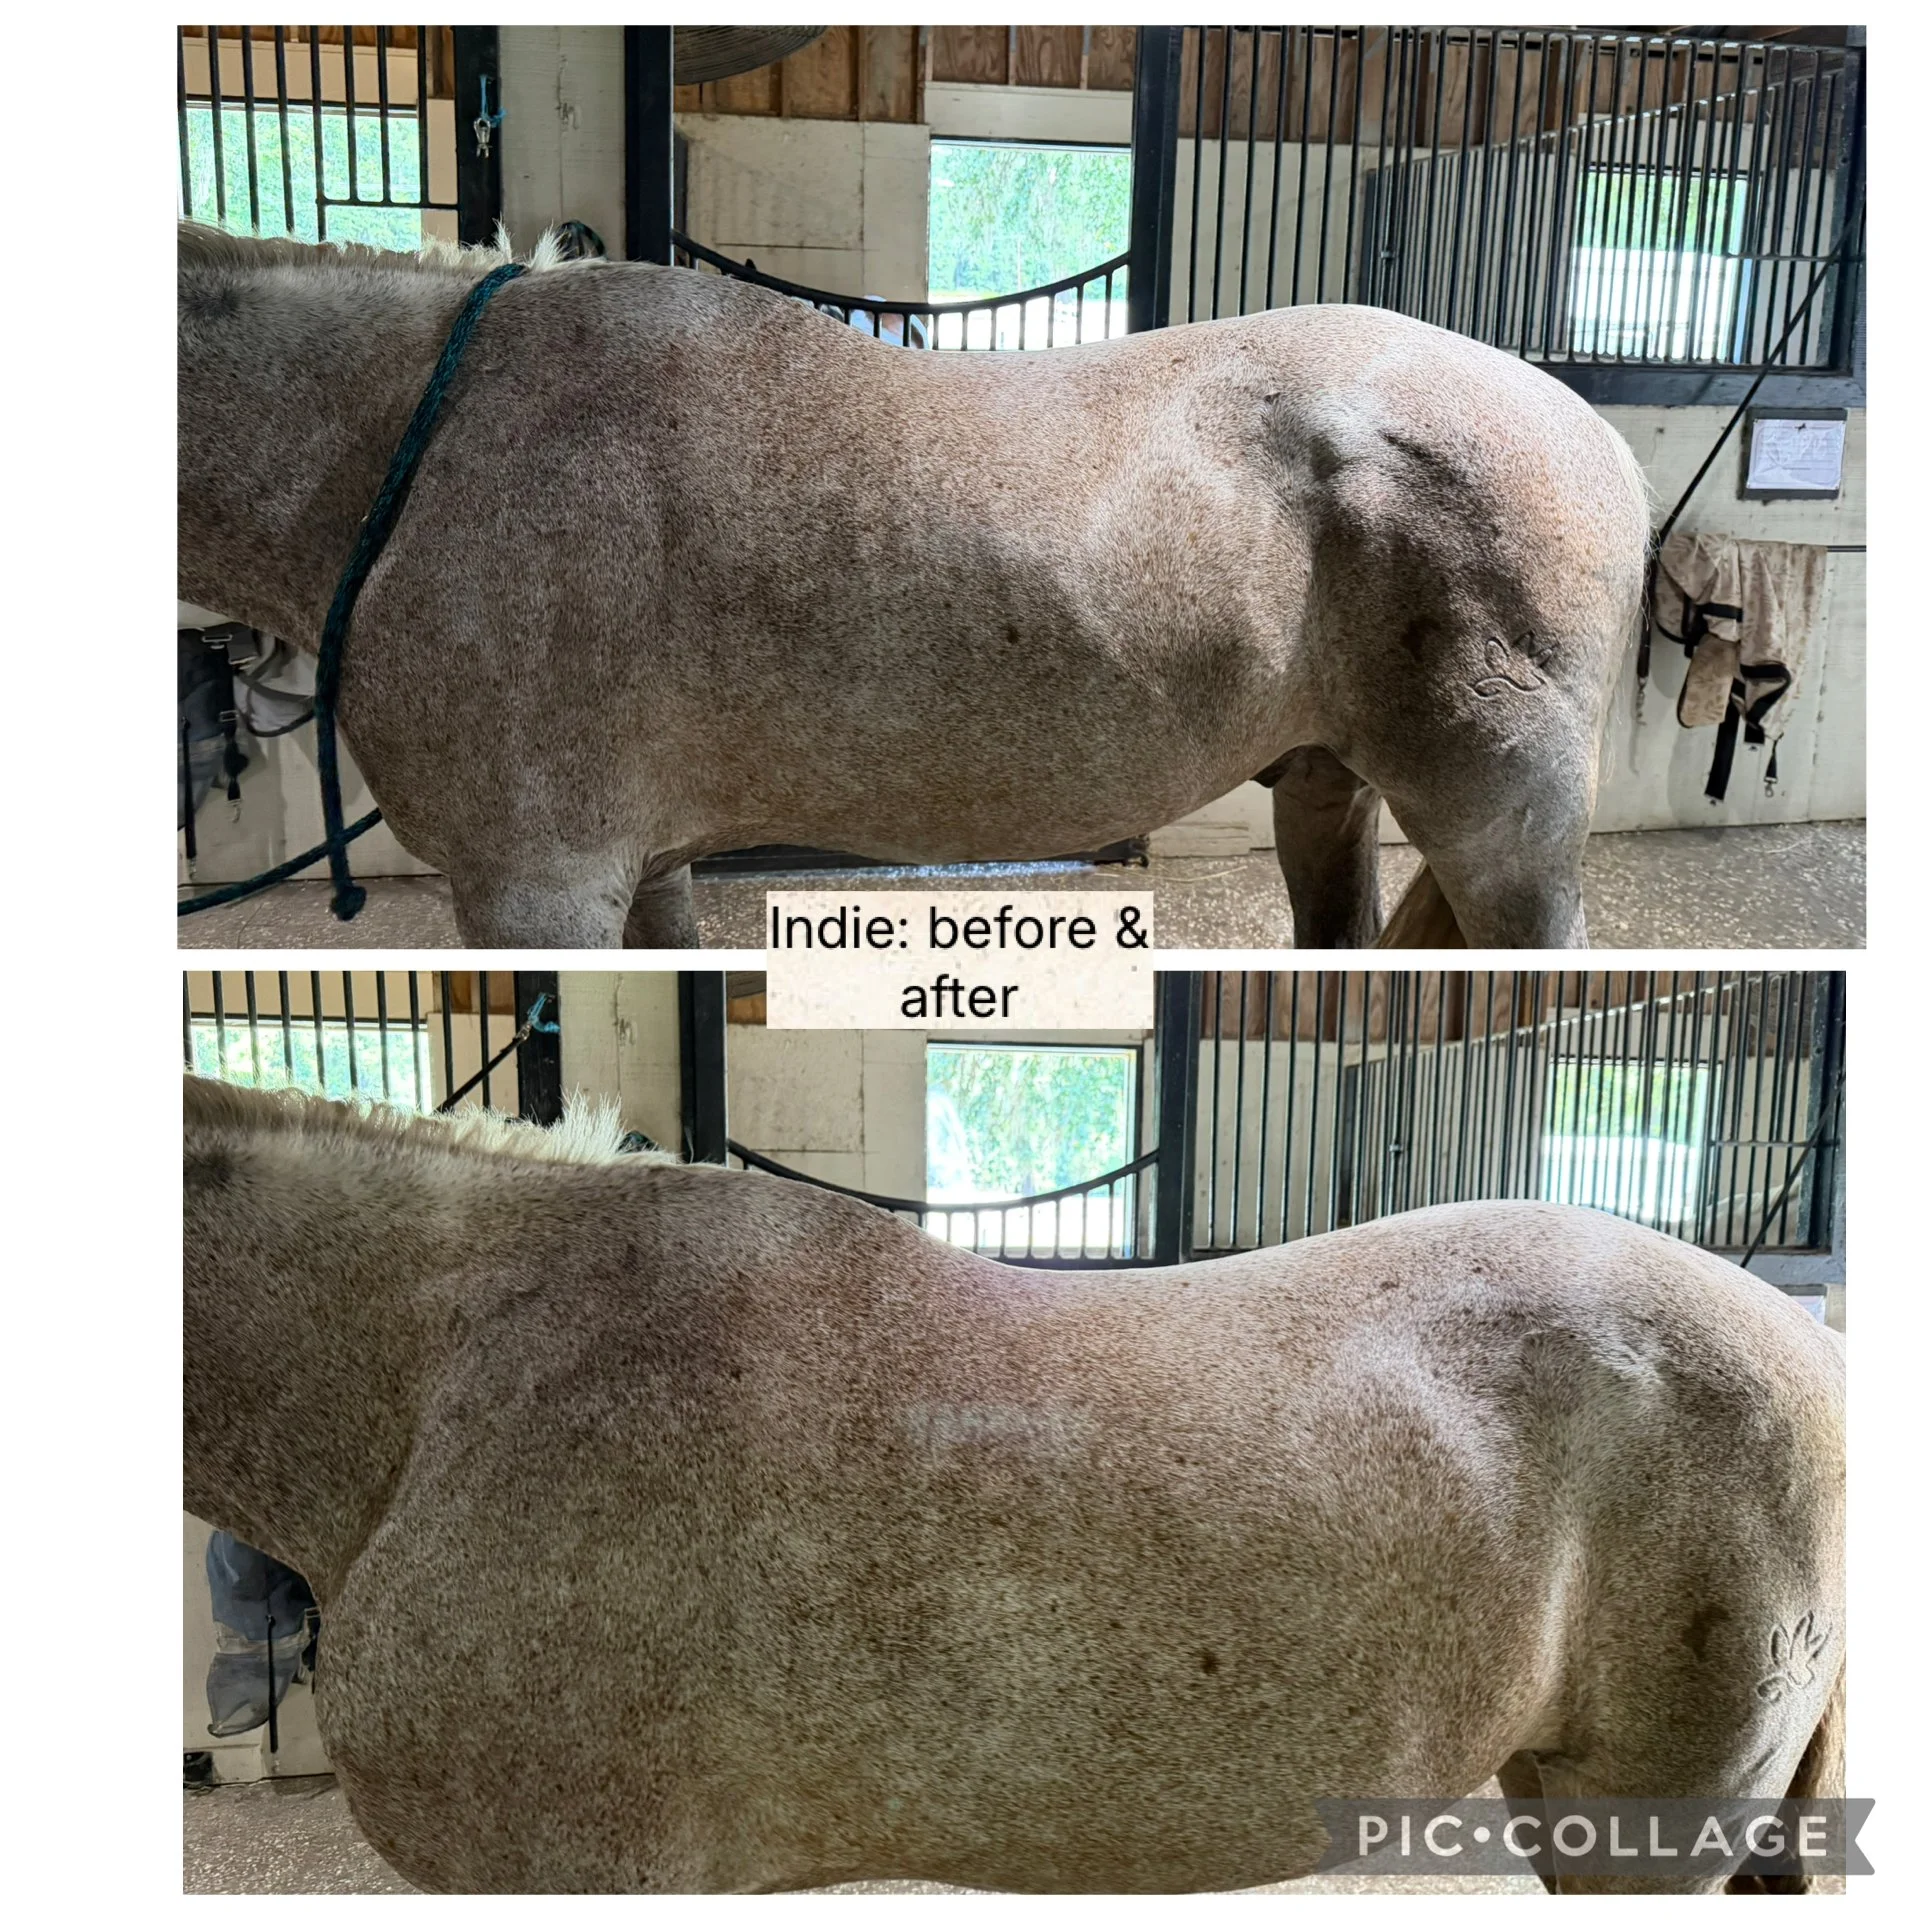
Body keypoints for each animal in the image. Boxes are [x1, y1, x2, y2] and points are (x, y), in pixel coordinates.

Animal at [177, 224, 1650, 949]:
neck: (429, 439)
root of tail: (1601, 439)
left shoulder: (537, 889)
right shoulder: (638, 866)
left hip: (1506, 837)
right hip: (1326, 785)